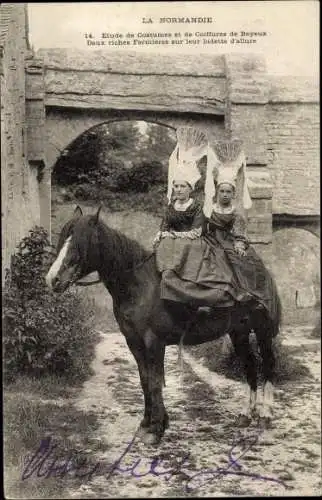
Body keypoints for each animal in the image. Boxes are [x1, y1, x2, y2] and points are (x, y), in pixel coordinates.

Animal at [46, 206, 280, 446]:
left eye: (80, 243)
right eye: (63, 239)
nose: (52, 279)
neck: (139, 285)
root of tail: (263, 272)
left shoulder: (154, 342)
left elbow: (156, 381)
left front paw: (156, 429)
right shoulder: (134, 342)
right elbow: (145, 381)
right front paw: (146, 424)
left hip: (263, 331)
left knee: (269, 366)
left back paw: (265, 416)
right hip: (238, 333)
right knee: (250, 366)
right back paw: (245, 415)